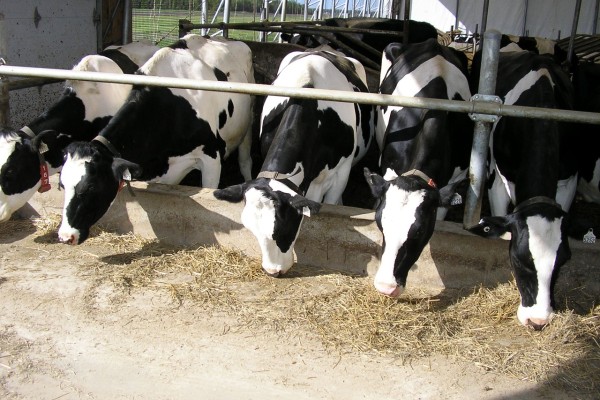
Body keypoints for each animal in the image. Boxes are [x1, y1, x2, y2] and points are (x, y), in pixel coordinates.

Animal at [59, 34, 258, 245]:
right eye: (62, 185)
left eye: (89, 187)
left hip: (248, 124)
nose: (65, 236)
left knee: (245, 161)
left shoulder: (211, 158)